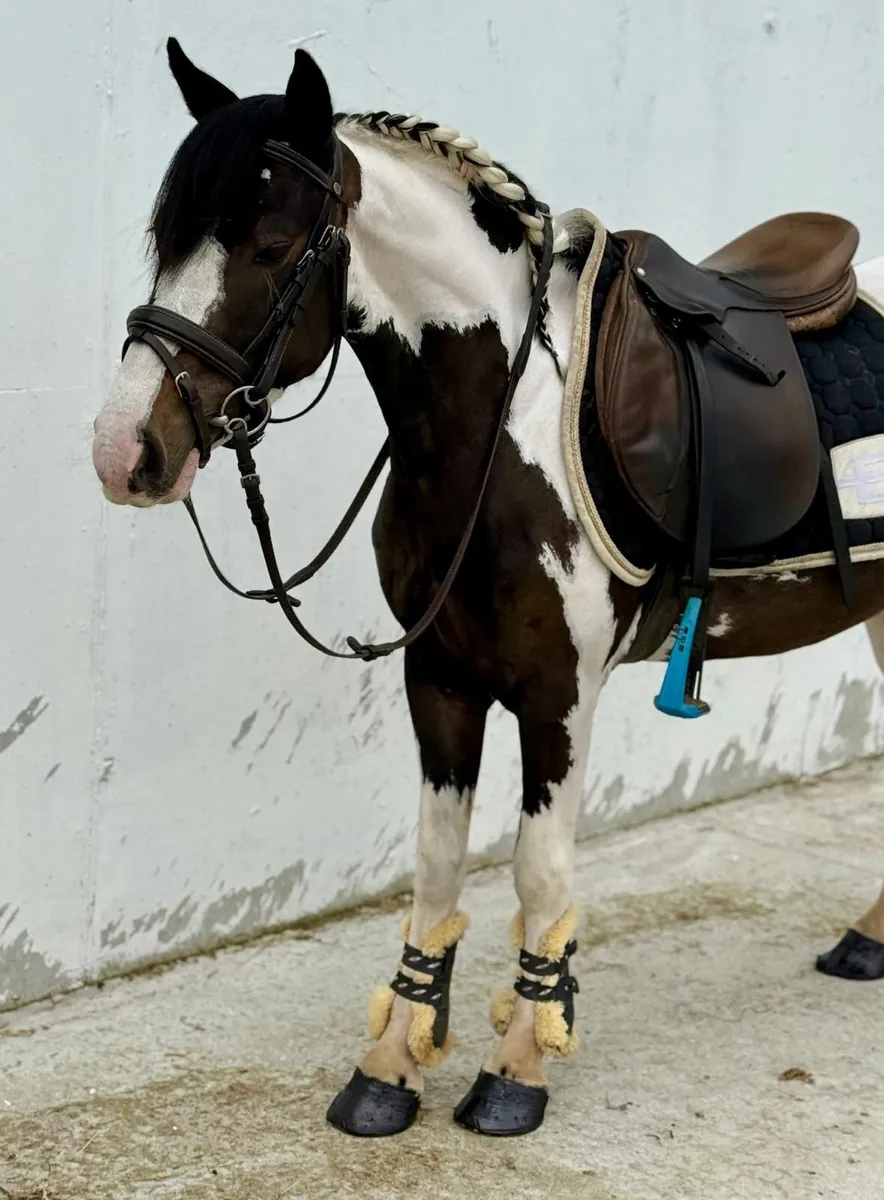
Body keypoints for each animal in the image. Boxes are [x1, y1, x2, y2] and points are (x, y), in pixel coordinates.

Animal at [91, 42, 884, 1139]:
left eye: (269, 245)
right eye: (164, 242)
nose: (126, 451)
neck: (501, 427)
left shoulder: (559, 695)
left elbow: (536, 869)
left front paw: (518, 1066)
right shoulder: (439, 677)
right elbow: (435, 865)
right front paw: (391, 1064)